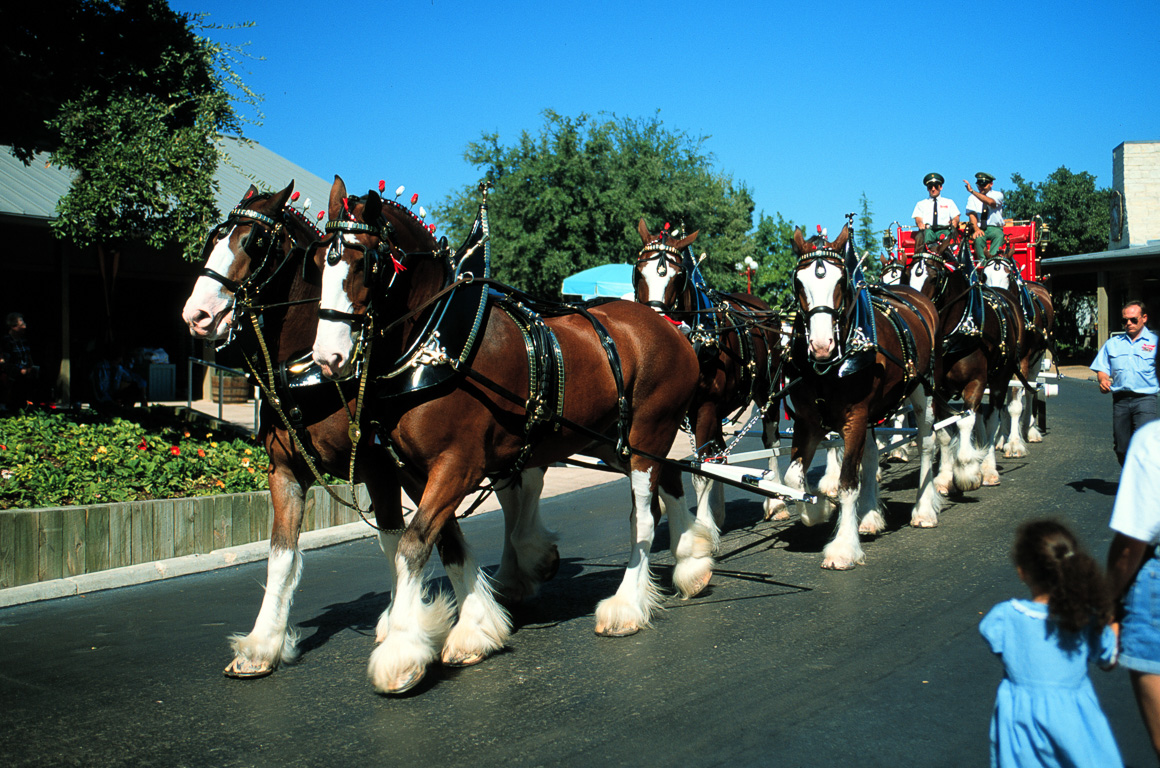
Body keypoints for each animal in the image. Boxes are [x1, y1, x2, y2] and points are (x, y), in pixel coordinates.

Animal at [176, 185, 403, 682]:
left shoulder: (379, 467)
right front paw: (262, 645)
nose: (196, 315)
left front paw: (403, 624)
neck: (308, 371)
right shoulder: (284, 470)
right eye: (214, 238)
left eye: (254, 242)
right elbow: (280, 555)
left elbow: (395, 541)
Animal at [313, 177, 700, 696]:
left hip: (647, 434)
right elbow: (445, 542)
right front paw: (477, 626)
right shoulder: (416, 473)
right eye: (319, 260)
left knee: (642, 517)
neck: (437, 342)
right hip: (618, 441)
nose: (327, 356)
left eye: (365, 263)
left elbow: (414, 544)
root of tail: (668, 327)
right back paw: (693, 564)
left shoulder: (457, 465)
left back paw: (627, 606)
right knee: (671, 481)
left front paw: (401, 651)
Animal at [635, 219, 788, 526]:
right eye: (638, 271)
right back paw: (718, 511)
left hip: (768, 390)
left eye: (678, 276)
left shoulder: (706, 406)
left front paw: (703, 527)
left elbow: (700, 472)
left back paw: (776, 503)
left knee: (771, 441)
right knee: (718, 454)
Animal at [788, 226, 941, 568]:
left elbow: (847, 483)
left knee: (926, 443)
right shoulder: (808, 421)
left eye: (840, 282)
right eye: (798, 283)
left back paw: (923, 509)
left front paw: (843, 547)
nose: (821, 345)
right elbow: (793, 479)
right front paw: (816, 509)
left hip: (922, 390)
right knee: (871, 455)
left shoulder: (854, 416)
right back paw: (870, 516)